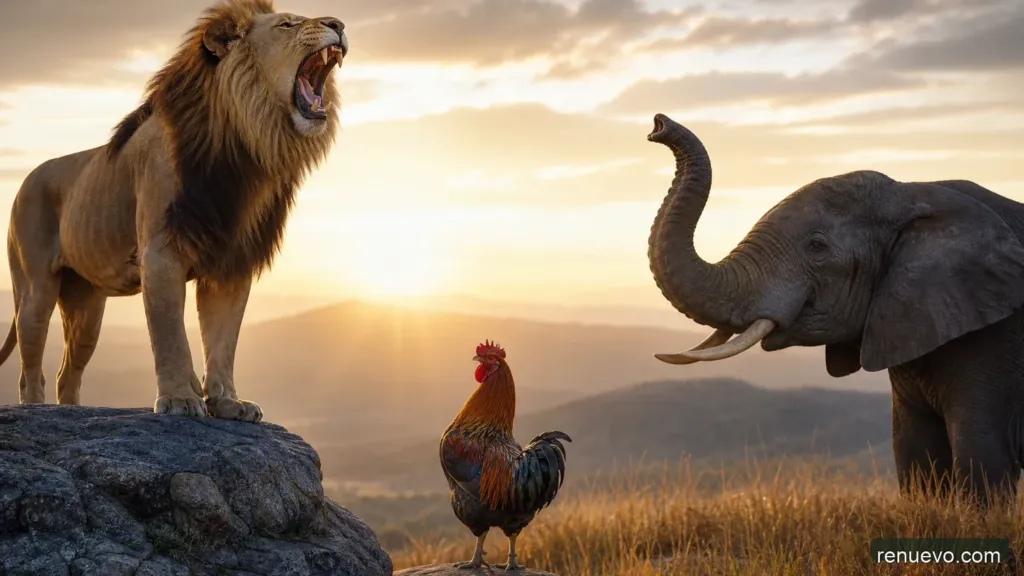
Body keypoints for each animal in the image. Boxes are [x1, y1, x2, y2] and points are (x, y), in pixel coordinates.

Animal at [0, 0, 348, 422]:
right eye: (287, 25)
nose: (338, 23)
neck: (243, 148)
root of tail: (25, 181)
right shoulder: (160, 254)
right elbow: (171, 336)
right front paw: (181, 399)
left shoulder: (231, 263)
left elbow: (223, 341)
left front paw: (229, 403)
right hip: (35, 291)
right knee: (30, 368)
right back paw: (37, 410)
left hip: (87, 307)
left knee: (69, 373)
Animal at [645, 112, 1024, 507]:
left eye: (816, 246)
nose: (658, 125)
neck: (913, 193)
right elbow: (914, 453)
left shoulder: (994, 340)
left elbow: (982, 456)